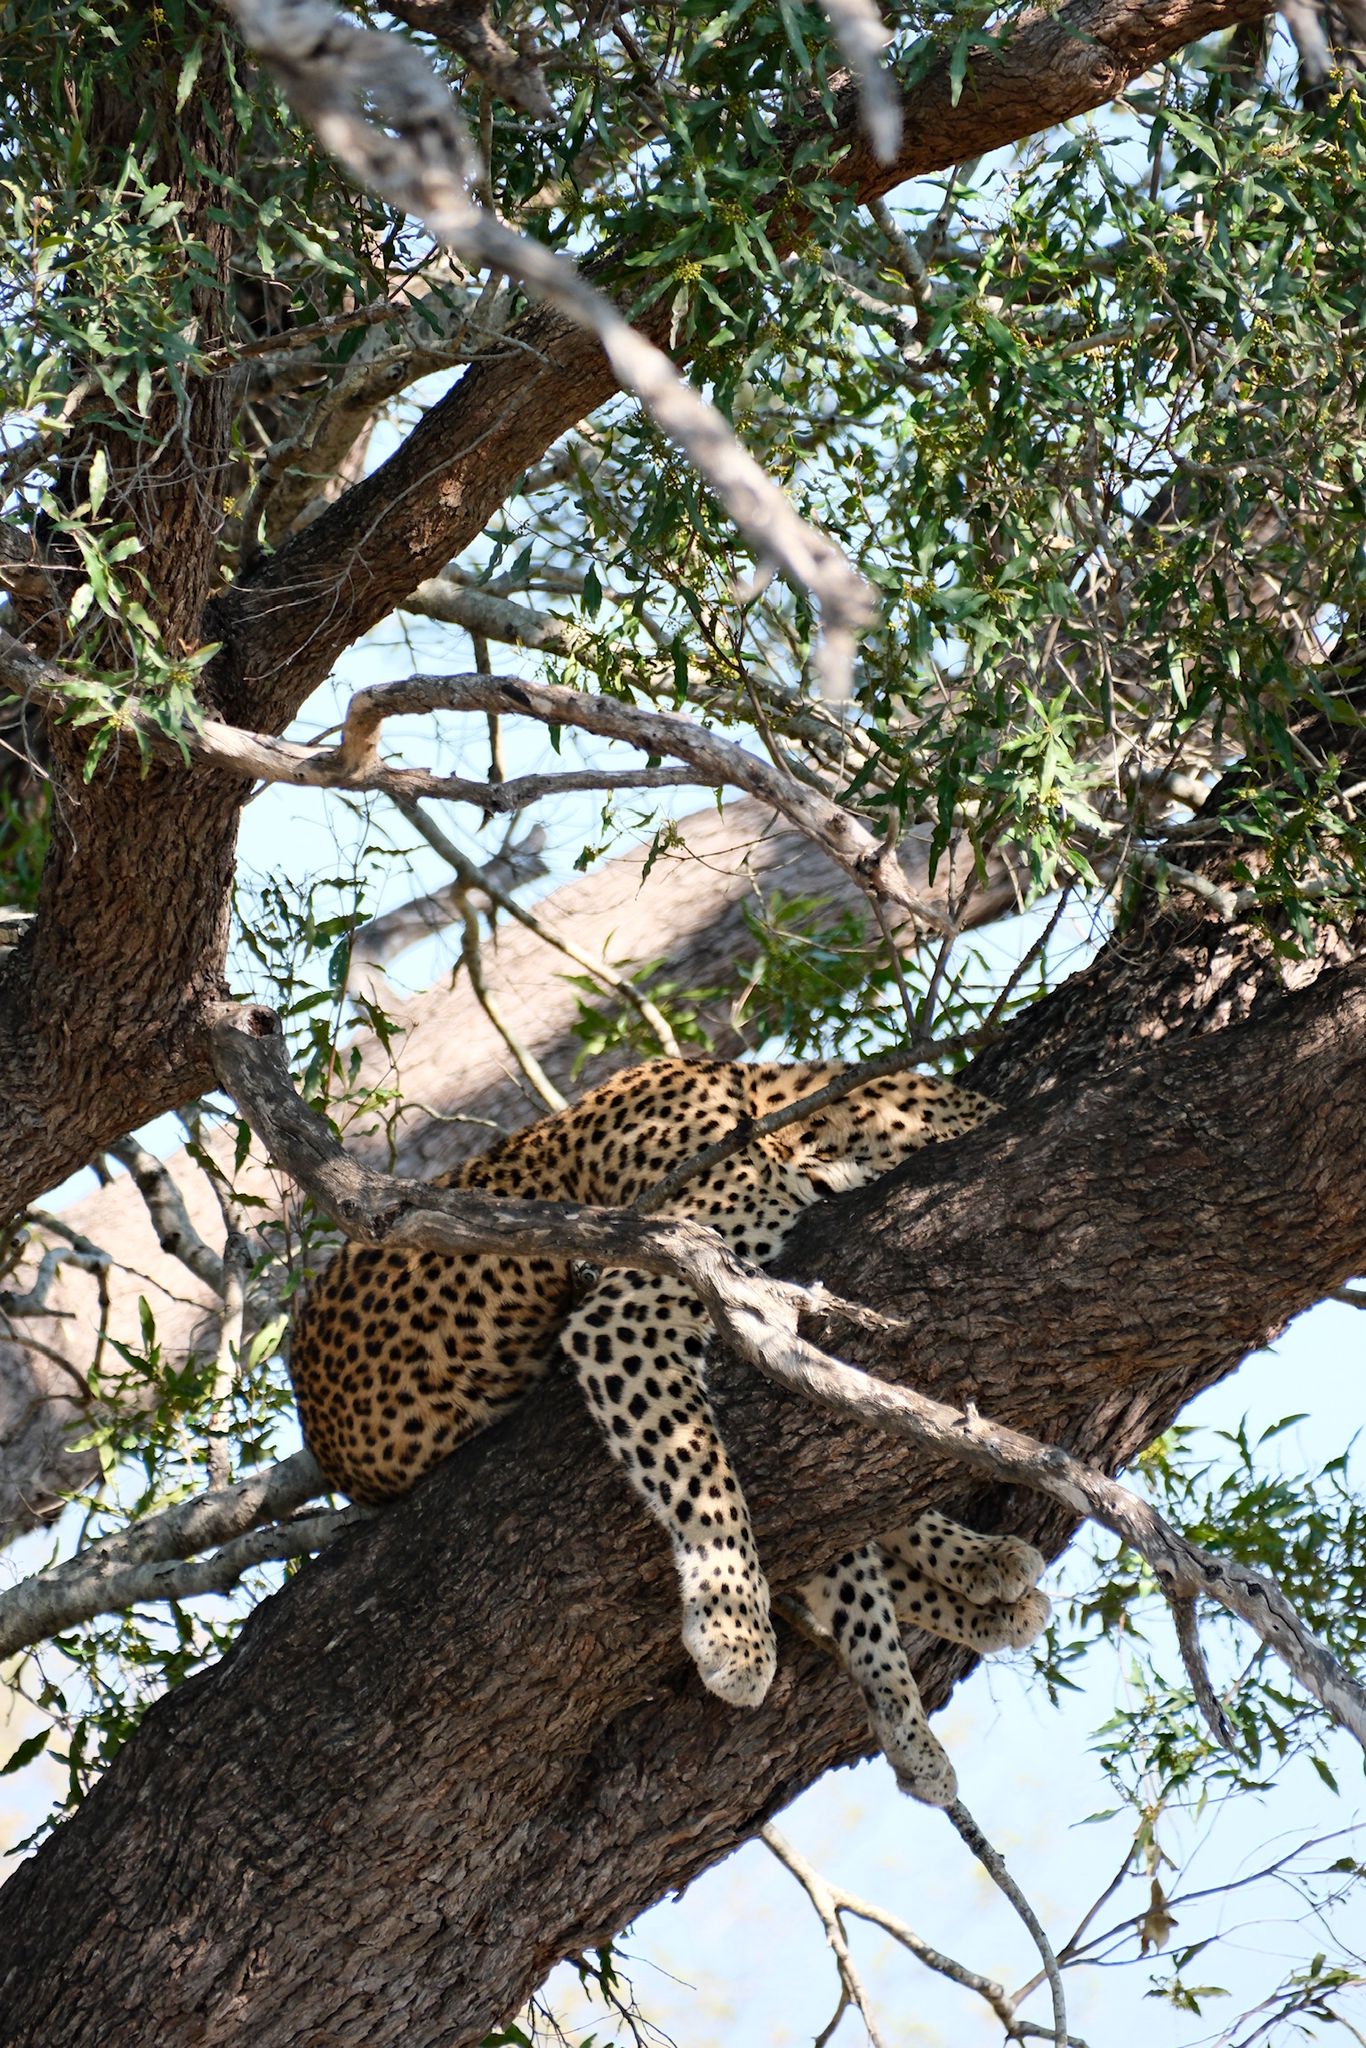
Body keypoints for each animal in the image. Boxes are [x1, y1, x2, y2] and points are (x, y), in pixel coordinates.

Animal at [290, 1057, 1050, 1804]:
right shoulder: (636, 1305)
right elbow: (705, 1481)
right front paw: (735, 1636)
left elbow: (856, 1574)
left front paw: (906, 1724)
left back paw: (984, 1574)